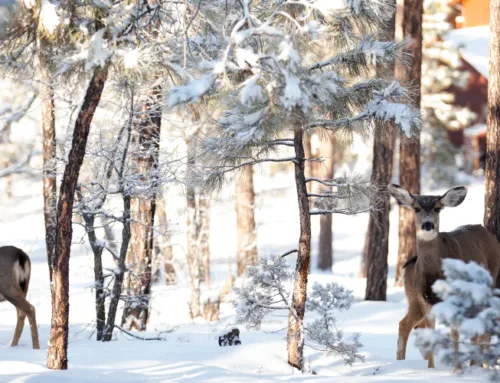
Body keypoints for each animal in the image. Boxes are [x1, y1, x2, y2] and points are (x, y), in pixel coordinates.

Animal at [390, 184, 500, 370]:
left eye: (438, 208)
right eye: (416, 208)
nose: (428, 224)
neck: (433, 274)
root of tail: (489, 234)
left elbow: (454, 332)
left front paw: (458, 369)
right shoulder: (424, 298)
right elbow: (431, 332)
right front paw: (431, 369)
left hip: (489, 282)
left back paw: (480, 365)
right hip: (414, 299)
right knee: (405, 324)